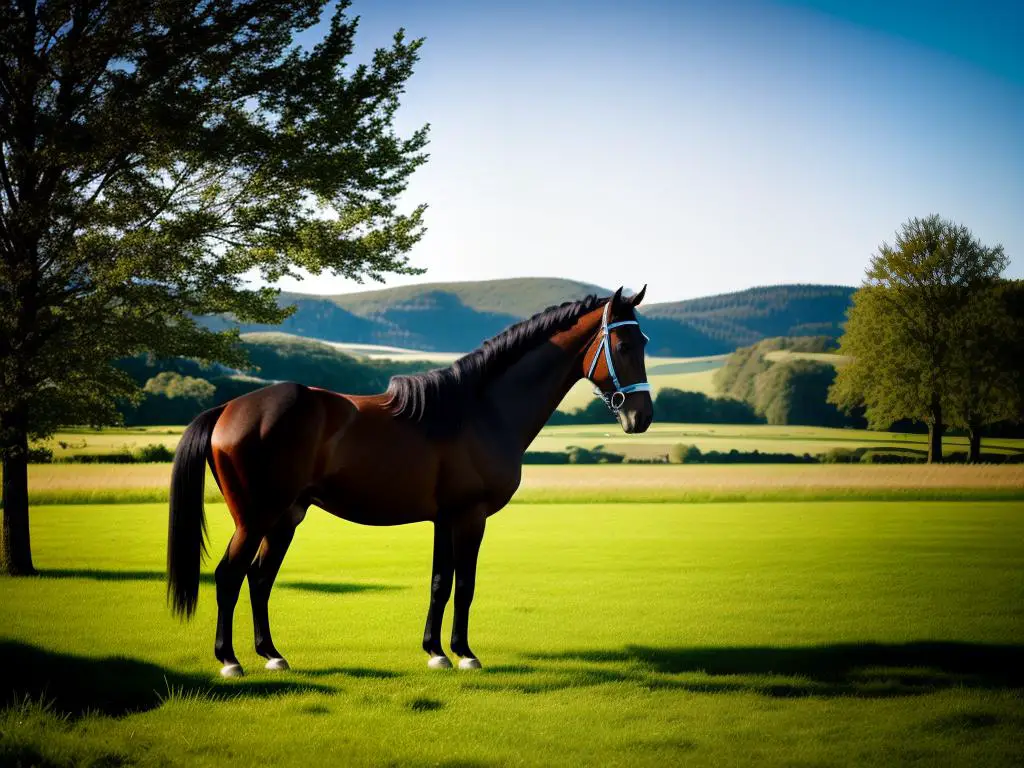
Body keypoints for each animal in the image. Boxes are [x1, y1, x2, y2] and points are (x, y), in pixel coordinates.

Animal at [163, 286, 651, 675]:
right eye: (624, 343)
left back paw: (272, 655)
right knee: (229, 575)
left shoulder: (445, 518)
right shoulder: (470, 516)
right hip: (255, 518)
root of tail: (227, 409)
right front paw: (465, 654)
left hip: (285, 517)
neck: (480, 409)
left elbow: (440, 583)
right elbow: (465, 584)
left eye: (644, 341)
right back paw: (230, 661)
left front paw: (436, 652)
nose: (640, 416)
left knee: (259, 578)